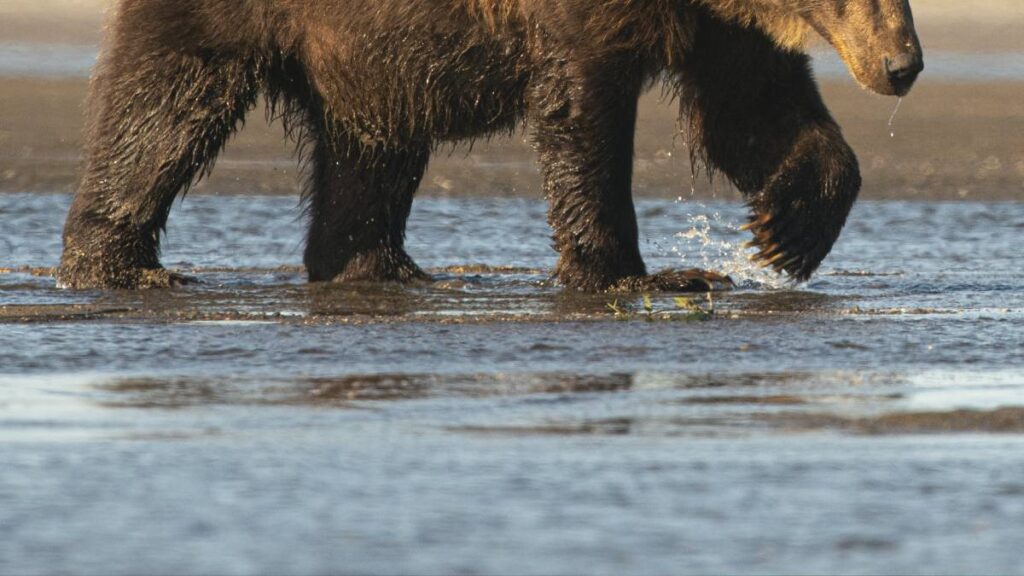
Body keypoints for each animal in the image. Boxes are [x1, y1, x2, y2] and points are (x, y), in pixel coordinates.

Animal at [57, 0, 923, 291]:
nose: (904, 65)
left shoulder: (717, 22)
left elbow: (753, 109)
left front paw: (784, 232)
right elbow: (583, 113)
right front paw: (641, 272)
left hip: (367, 52)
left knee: (374, 147)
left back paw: (378, 264)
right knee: (164, 107)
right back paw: (121, 266)